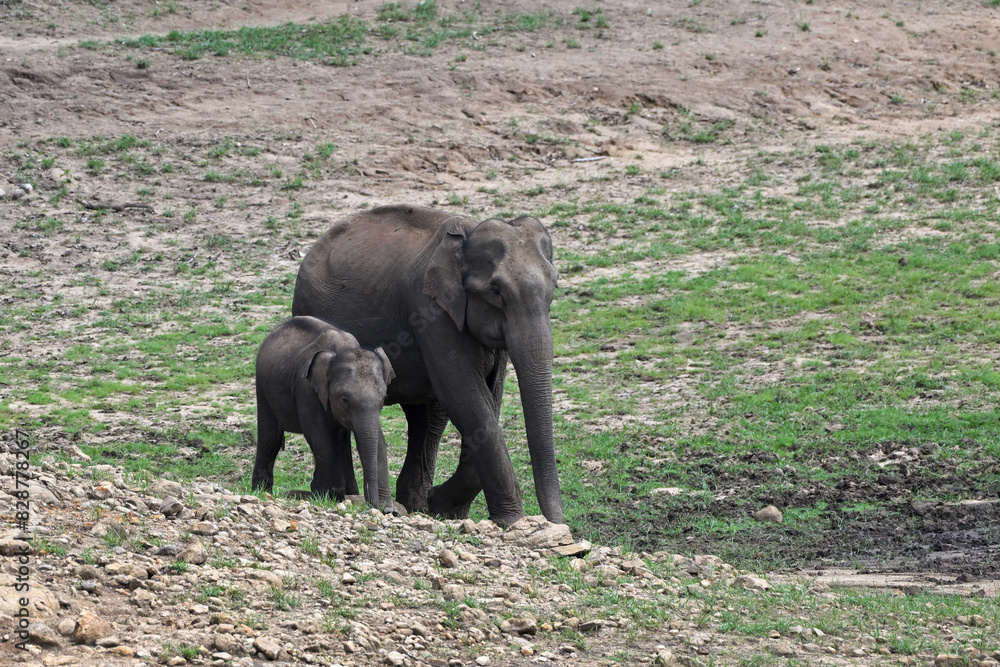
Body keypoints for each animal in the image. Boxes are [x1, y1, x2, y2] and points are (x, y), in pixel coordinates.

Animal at [252, 315, 395, 510]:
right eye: (345, 400)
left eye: (383, 399)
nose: (373, 505)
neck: (344, 349)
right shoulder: (306, 389)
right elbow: (320, 436)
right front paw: (328, 494)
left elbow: (378, 439)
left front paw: (387, 508)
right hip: (263, 388)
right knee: (270, 438)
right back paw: (259, 491)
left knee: (342, 442)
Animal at [292, 204, 563, 527]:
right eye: (496, 290)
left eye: (555, 285)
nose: (559, 523)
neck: (469, 233)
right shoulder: (430, 308)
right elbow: (466, 397)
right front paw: (509, 522)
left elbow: (488, 399)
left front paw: (444, 508)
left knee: (427, 418)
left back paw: (415, 504)